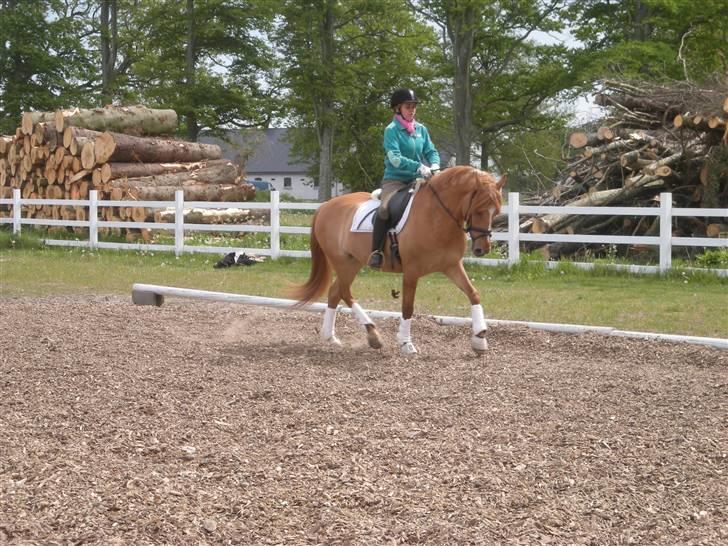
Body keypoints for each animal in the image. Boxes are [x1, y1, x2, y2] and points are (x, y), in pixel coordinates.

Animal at [288, 165, 506, 352]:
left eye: (496, 211)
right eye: (478, 209)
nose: (482, 249)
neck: (437, 216)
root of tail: (325, 206)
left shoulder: (451, 265)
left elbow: (473, 294)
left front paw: (480, 338)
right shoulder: (411, 271)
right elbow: (408, 307)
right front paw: (405, 342)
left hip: (353, 261)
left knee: (335, 292)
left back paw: (331, 337)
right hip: (342, 261)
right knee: (343, 291)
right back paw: (372, 333)